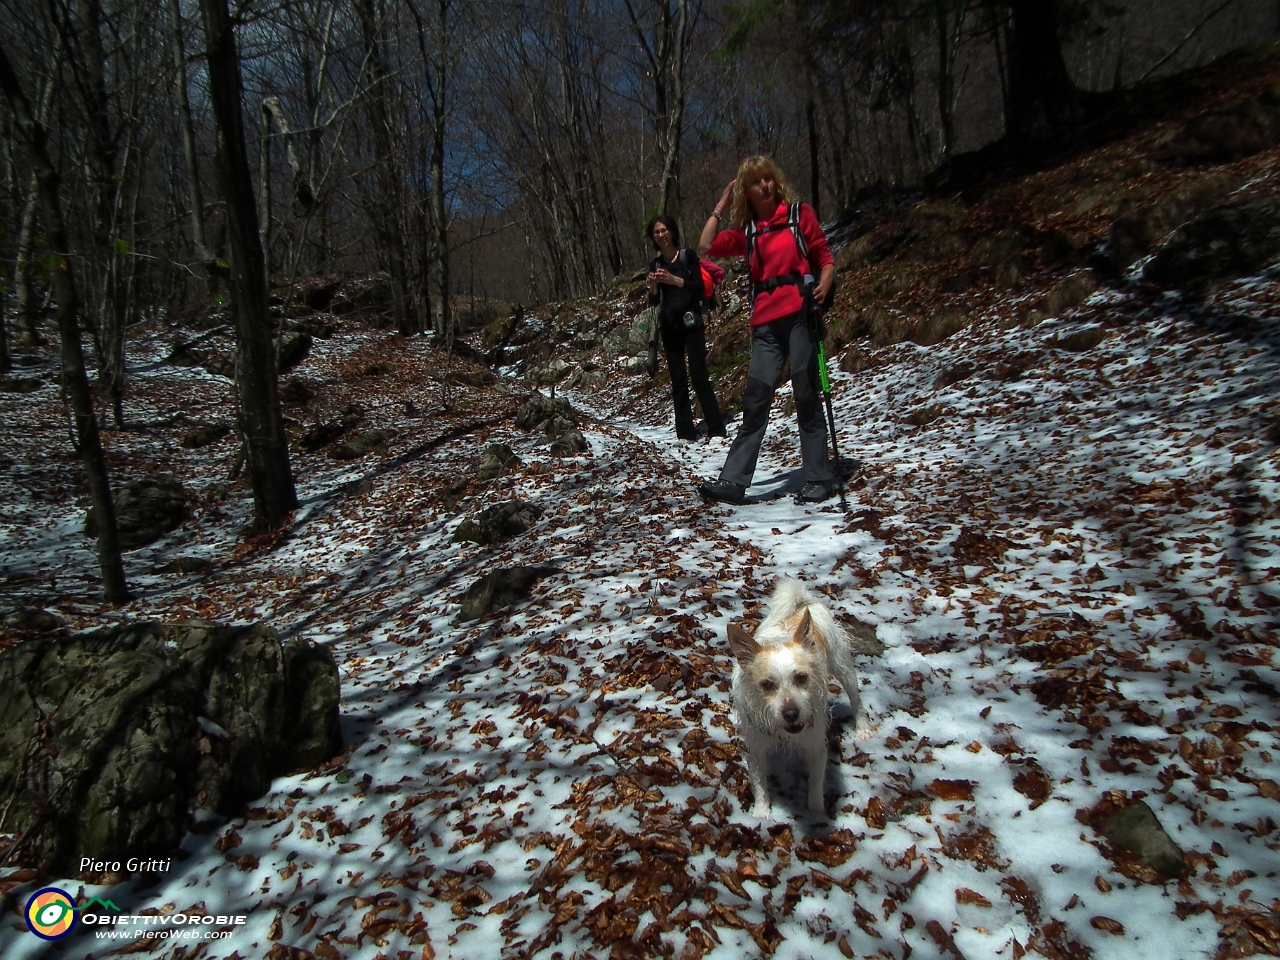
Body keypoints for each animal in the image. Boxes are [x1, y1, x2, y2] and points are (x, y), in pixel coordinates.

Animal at [732, 578, 870, 819]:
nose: (791, 713)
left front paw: (816, 815)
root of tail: (803, 604)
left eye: (801, 678)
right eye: (767, 684)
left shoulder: (816, 747)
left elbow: (815, 785)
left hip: (844, 667)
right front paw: (761, 814)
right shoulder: (755, 749)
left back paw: (862, 728)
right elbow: (760, 785)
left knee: (856, 699)